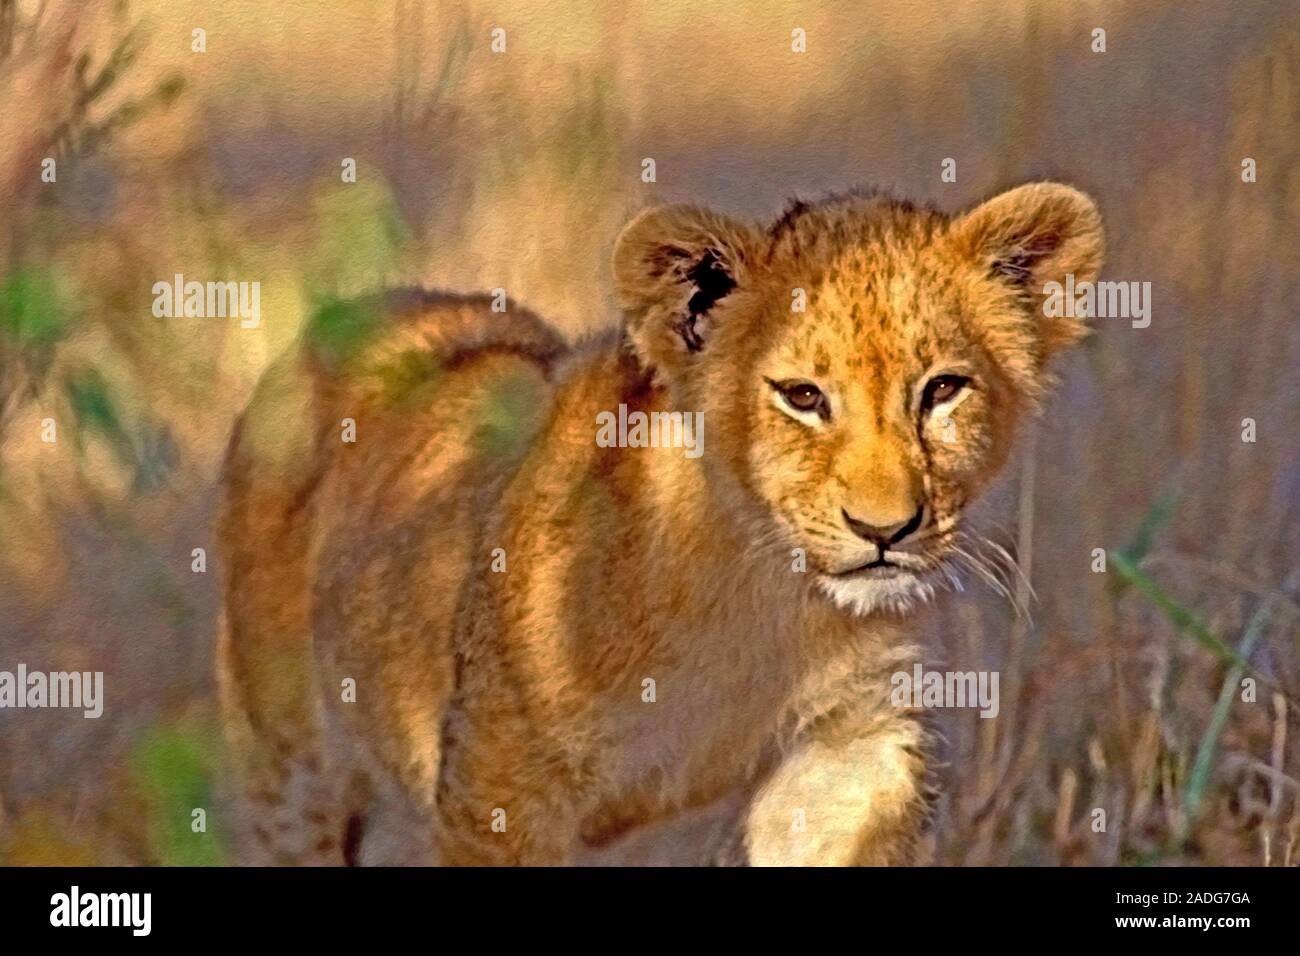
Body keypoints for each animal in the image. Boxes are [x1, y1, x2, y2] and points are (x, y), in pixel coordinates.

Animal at [216, 182, 1103, 865]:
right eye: (802, 396)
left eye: (943, 390)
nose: (885, 530)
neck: (765, 597)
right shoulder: (500, 784)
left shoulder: (852, 746)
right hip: (290, 766)